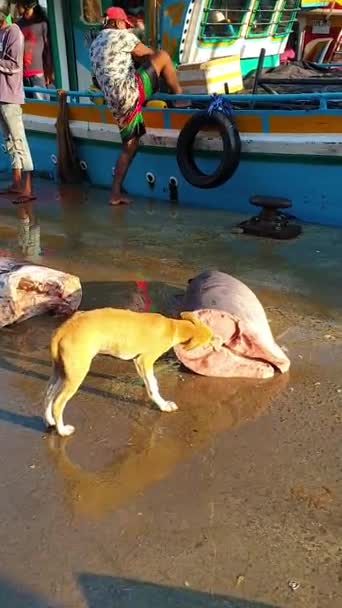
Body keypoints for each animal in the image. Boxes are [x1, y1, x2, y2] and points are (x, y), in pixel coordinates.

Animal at [43, 308, 214, 436]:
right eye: (208, 341)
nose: (217, 342)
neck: (174, 326)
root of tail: (63, 329)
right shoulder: (144, 361)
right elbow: (153, 385)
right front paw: (163, 405)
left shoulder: (139, 362)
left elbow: (150, 382)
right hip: (76, 373)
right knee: (58, 403)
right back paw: (62, 430)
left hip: (60, 371)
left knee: (48, 395)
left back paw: (50, 421)